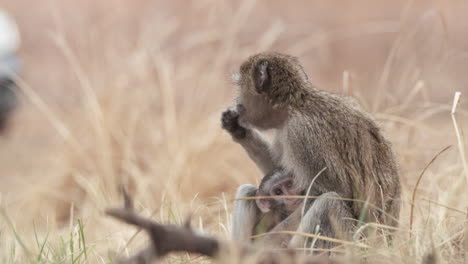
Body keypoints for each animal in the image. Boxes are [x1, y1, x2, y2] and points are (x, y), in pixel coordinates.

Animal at [221, 52, 400, 249]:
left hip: (353, 243)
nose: (238, 102)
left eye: (240, 88)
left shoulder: (300, 135)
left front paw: (264, 246)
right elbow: (278, 170)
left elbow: (330, 193)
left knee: (329, 202)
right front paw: (239, 131)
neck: (295, 105)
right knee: (248, 192)